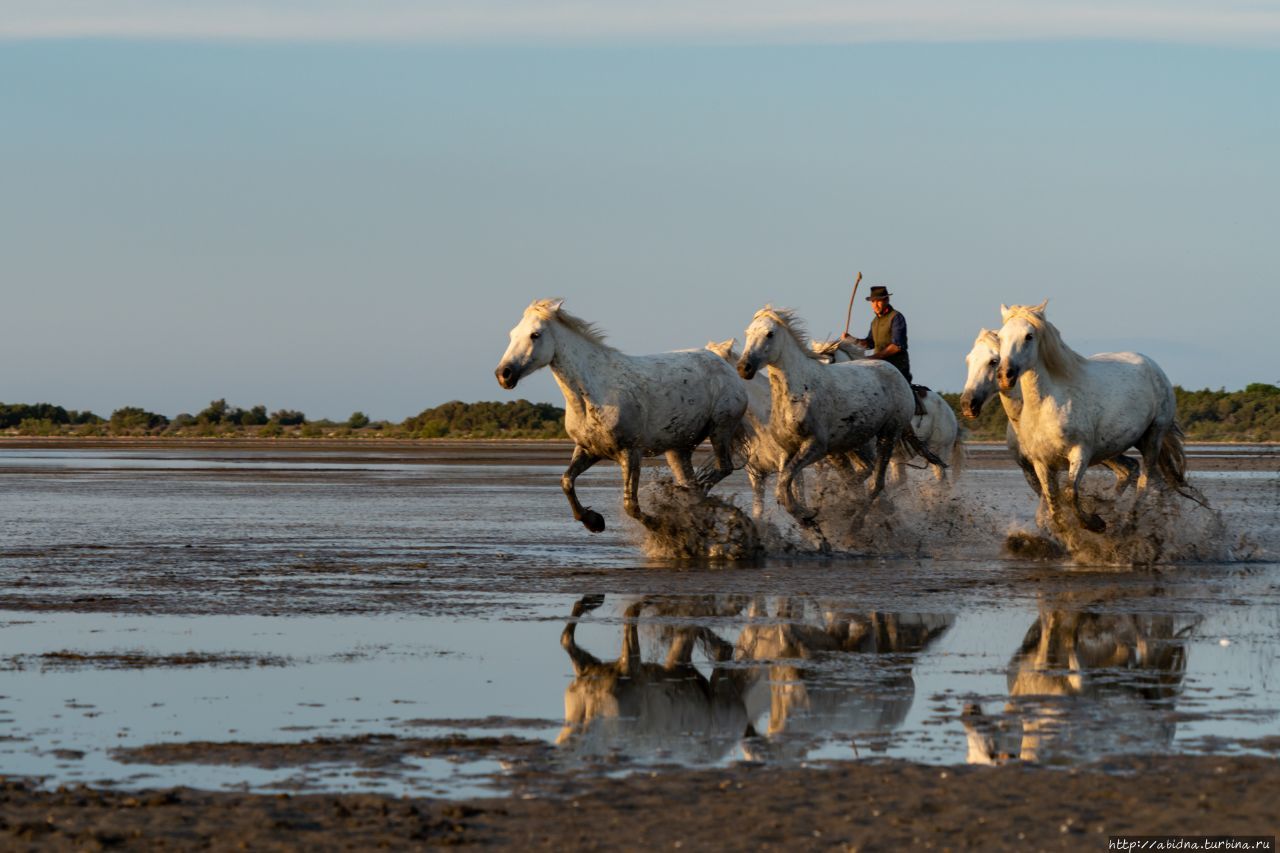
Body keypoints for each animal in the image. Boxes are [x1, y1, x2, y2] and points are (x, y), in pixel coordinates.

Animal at [494, 295, 747, 527]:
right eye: (512, 334)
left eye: (535, 335)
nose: (503, 374)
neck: (594, 393)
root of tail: (723, 363)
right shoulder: (588, 450)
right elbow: (566, 481)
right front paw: (593, 521)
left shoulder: (631, 452)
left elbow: (631, 506)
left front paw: (660, 525)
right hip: (679, 448)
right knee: (692, 481)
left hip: (720, 429)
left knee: (722, 468)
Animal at [732, 302, 942, 522]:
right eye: (748, 333)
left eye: (769, 333)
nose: (744, 367)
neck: (801, 390)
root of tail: (897, 375)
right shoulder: (788, 450)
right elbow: (784, 486)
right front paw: (807, 514)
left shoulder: (816, 447)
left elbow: (786, 484)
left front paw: (811, 512)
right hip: (853, 443)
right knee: (863, 474)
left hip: (888, 434)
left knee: (875, 483)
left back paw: (856, 522)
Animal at [998, 300, 1187, 532]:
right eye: (1000, 336)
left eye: (1029, 336)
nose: (1005, 375)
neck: (1045, 407)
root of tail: (1153, 365)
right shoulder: (1041, 463)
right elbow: (1054, 505)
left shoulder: (1080, 453)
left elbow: (1070, 493)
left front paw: (1095, 523)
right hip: (1136, 441)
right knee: (1147, 479)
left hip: (1154, 435)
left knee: (1145, 480)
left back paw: (1128, 524)